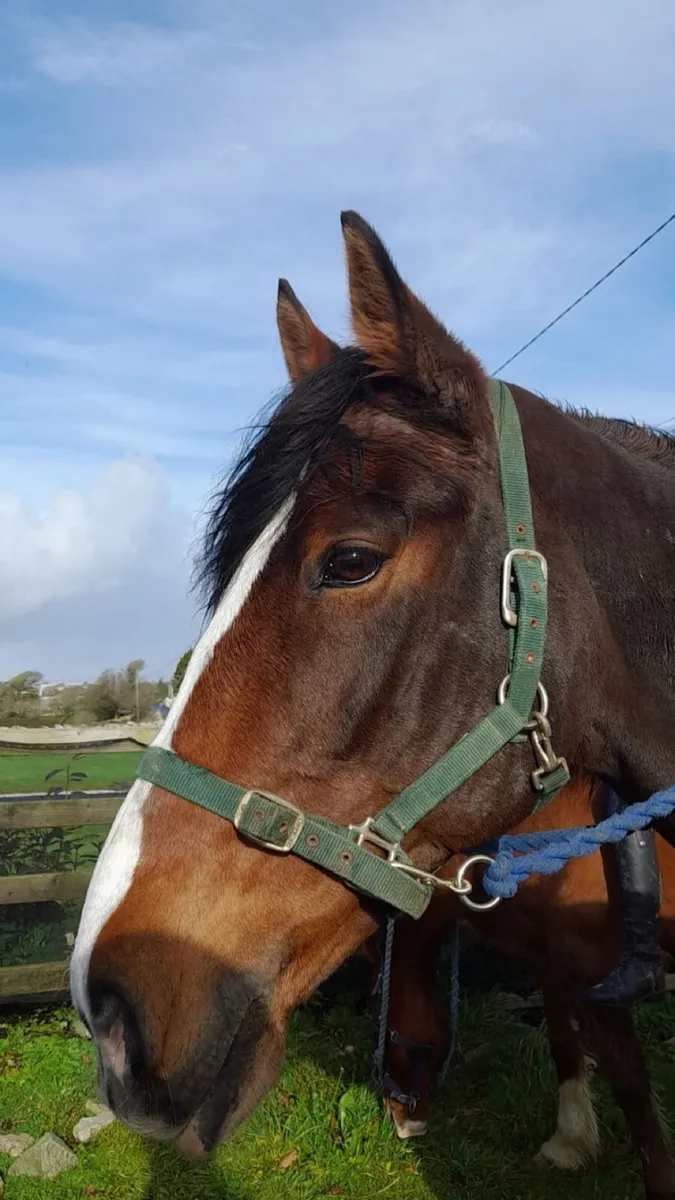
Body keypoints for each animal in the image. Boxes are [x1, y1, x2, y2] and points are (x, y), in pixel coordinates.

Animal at [364, 773, 675, 1199]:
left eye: (378, 1012)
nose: (401, 1122)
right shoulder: (554, 961)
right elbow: (563, 1042)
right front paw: (569, 1142)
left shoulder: (596, 975)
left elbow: (631, 1085)